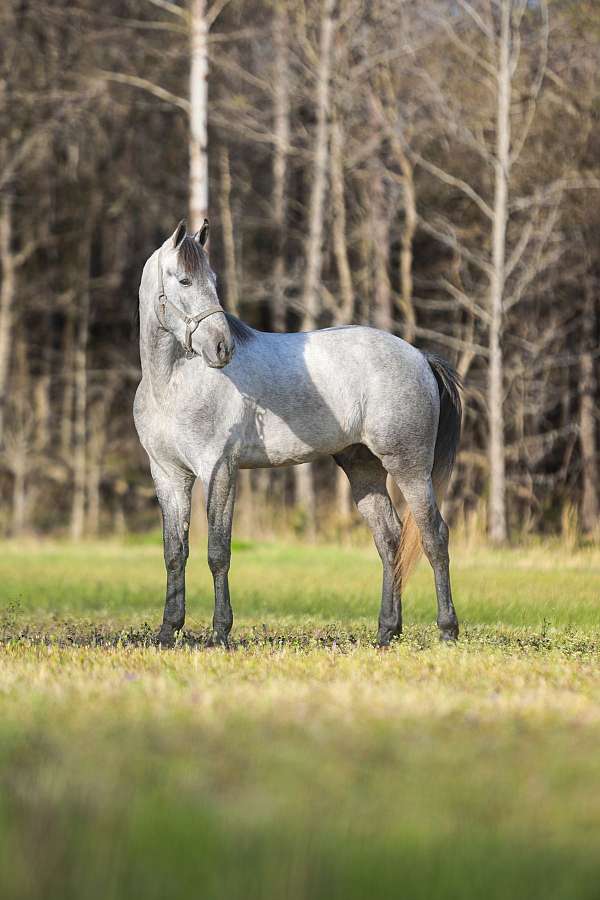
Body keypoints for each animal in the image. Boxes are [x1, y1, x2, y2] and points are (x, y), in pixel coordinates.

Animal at [134, 222, 462, 652]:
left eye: (214, 280)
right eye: (185, 280)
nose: (223, 347)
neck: (172, 384)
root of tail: (420, 356)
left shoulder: (218, 469)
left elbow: (218, 552)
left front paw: (220, 632)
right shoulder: (168, 475)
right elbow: (174, 552)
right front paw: (166, 631)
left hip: (410, 467)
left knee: (433, 536)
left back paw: (447, 631)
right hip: (363, 468)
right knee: (389, 540)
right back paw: (385, 632)